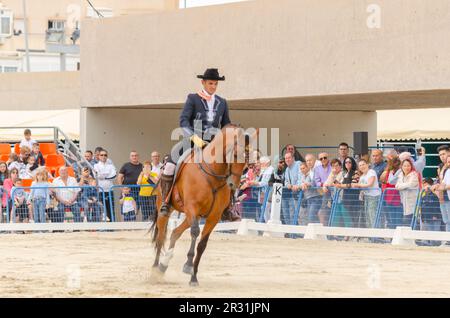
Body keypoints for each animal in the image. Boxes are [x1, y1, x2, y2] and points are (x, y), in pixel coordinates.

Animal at [150, 123, 255, 286]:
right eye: (235, 155)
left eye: (247, 159)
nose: (233, 184)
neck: (212, 173)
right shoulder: (192, 208)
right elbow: (194, 233)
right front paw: (188, 265)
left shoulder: (213, 216)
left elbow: (202, 244)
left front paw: (193, 277)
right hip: (167, 211)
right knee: (161, 237)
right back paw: (155, 270)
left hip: (192, 216)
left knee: (175, 233)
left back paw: (163, 265)